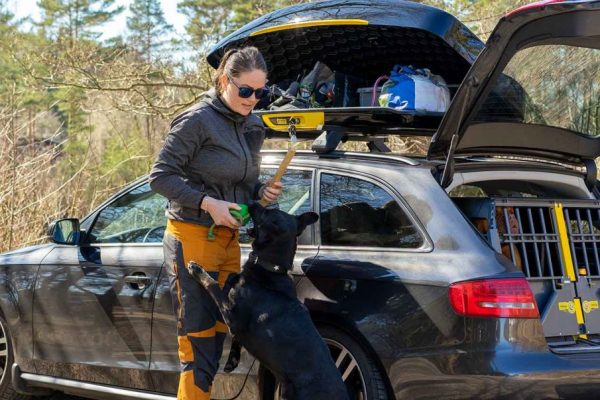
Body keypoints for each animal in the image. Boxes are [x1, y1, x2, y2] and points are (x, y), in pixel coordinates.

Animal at [186, 203, 346, 400]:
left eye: (266, 212)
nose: (253, 202)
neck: (271, 268)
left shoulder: (231, 315)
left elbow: (213, 284)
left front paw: (197, 270)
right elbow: (230, 279)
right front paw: (232, 360)